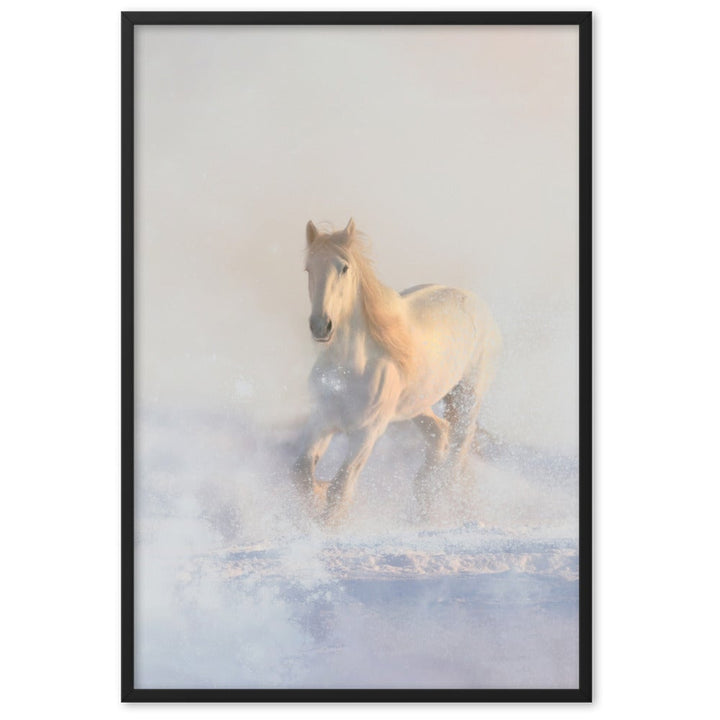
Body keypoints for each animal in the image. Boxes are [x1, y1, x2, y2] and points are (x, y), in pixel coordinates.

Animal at [293, 218, 501, 525]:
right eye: (309, 268)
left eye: (344, 267)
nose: (321, 326)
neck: (350, 369)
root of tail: (476, 303)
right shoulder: (322, 420)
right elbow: (302, 474)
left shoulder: (367, 433)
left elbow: (340, 489)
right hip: (418, 405)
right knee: (440, 434)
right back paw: (423, 505)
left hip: (468, 395)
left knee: (459, 446)